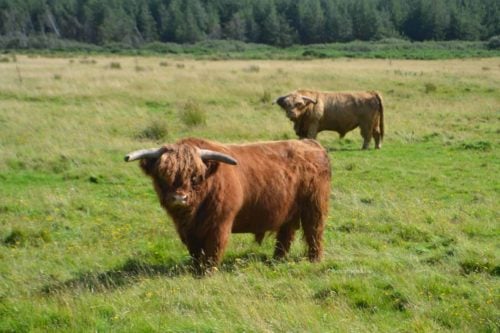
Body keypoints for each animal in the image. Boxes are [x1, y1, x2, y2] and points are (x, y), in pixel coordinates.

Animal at [124, 137, 332, 270]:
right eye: (162, 177)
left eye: (195, 177)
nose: (179, 198)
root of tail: (311, 143)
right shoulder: (189, 231)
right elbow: (195, 252)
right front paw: (196, 269)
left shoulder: (220, 223)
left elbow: (213, 249)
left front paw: (208, 272)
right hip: (288, 210)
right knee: (286, 234)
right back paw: (277, 259)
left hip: (315, 207)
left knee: (314, 232)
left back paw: (314, 260)